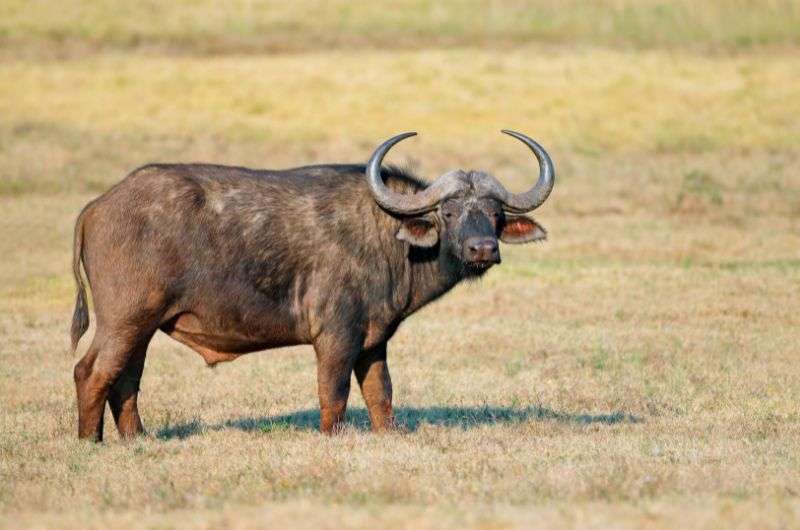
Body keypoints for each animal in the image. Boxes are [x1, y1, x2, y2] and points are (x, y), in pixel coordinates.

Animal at [72, 131, 552, 438]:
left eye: (494, 213)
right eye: (448, 212)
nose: (482, 249)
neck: (386, 232)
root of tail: (98, 206)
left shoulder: (374, 340)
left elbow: (381, 394)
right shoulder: (336, 337)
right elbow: (334, 394)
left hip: (143, 327)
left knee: (126, 379)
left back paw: (137, 438)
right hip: (124, 319)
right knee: (92, 372)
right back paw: (90, 441)